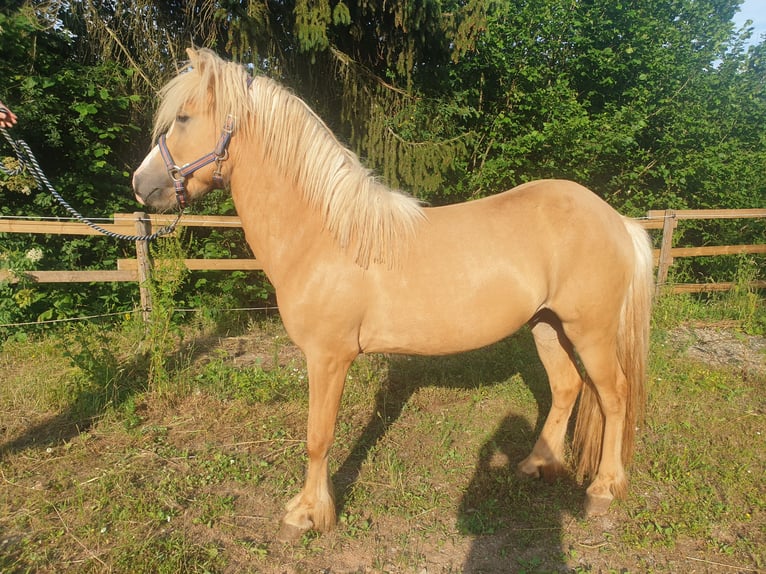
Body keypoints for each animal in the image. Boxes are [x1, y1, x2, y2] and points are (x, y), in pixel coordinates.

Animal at [132, 48, 654, 541]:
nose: (141, 184)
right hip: (547, 325)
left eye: (184, 118)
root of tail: (616, 219)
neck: (326, 235)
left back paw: (604, 488)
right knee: (567, 387)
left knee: (613, 395)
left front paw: (307, 515)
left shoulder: (328, 357)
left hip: (591, 331)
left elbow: (318, 436)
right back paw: (535, 465)